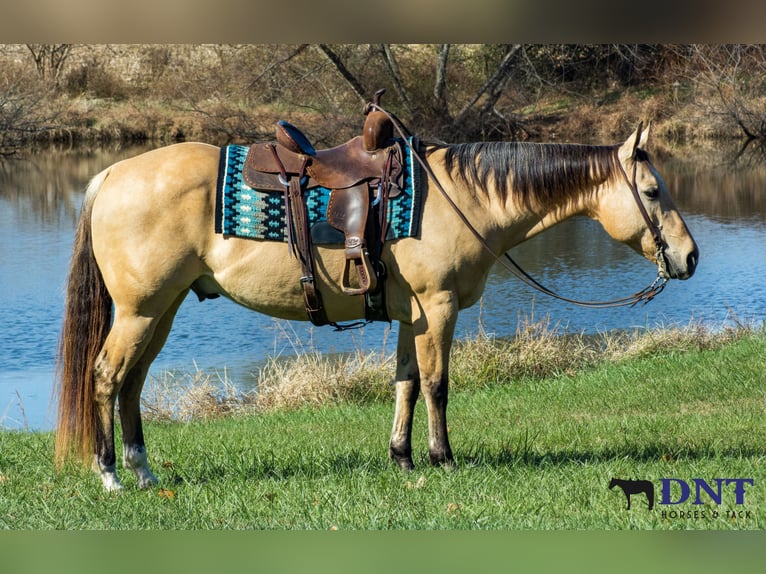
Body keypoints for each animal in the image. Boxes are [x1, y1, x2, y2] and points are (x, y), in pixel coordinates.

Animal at [55, 124, 699, 490]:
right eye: (651, 191)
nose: (689, 257)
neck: (463, 199)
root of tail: (110, 175)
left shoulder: (413, 316)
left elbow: (405, 383)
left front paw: (403, 458)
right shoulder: (439, 308)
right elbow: (437, 384)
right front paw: (442, 460)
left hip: (159, 313)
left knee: (133, 383)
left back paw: (143, 472)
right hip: (140, 312)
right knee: (106, 377)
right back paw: (111, 476)